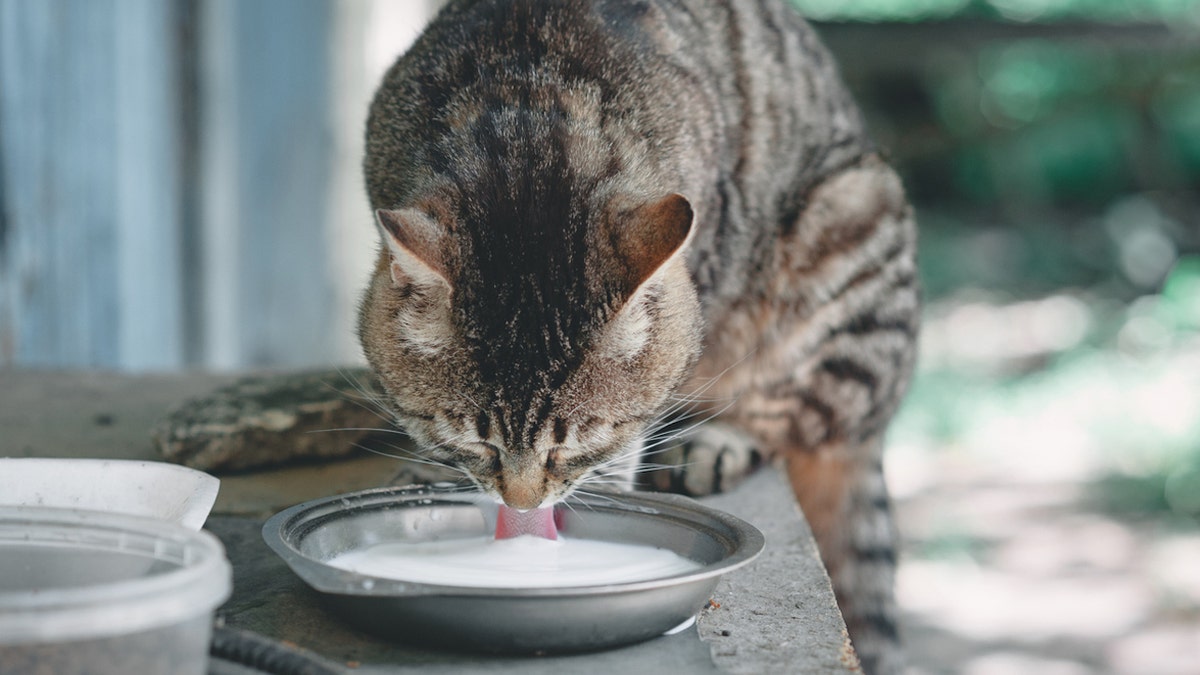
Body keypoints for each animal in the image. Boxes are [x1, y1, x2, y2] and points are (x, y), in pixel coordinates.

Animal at [355, 2, 916, 667]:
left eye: (575, 444)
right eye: (477, 441)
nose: (523, 506)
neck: (526, 107)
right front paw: (430, 467)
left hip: (850, 230)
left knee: (808, 411)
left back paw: (718, 440)